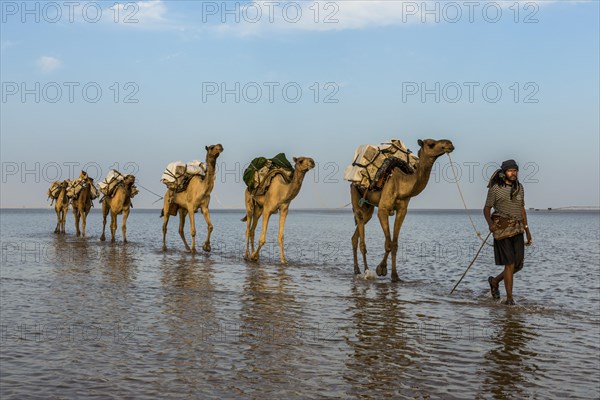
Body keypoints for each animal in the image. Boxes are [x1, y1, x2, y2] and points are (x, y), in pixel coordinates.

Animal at [350, 139, 452, 282]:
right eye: (431, 144)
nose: (449, 144)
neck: (402, 184)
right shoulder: (383, 209)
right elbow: (388, 243)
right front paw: (381, 269)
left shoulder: (402, 210)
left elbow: (395, 244)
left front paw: (395, 276)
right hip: (355, 194)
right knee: (362, 239)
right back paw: (366, 271)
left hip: (368, 208)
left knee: (356, 235)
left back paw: (357, 270)